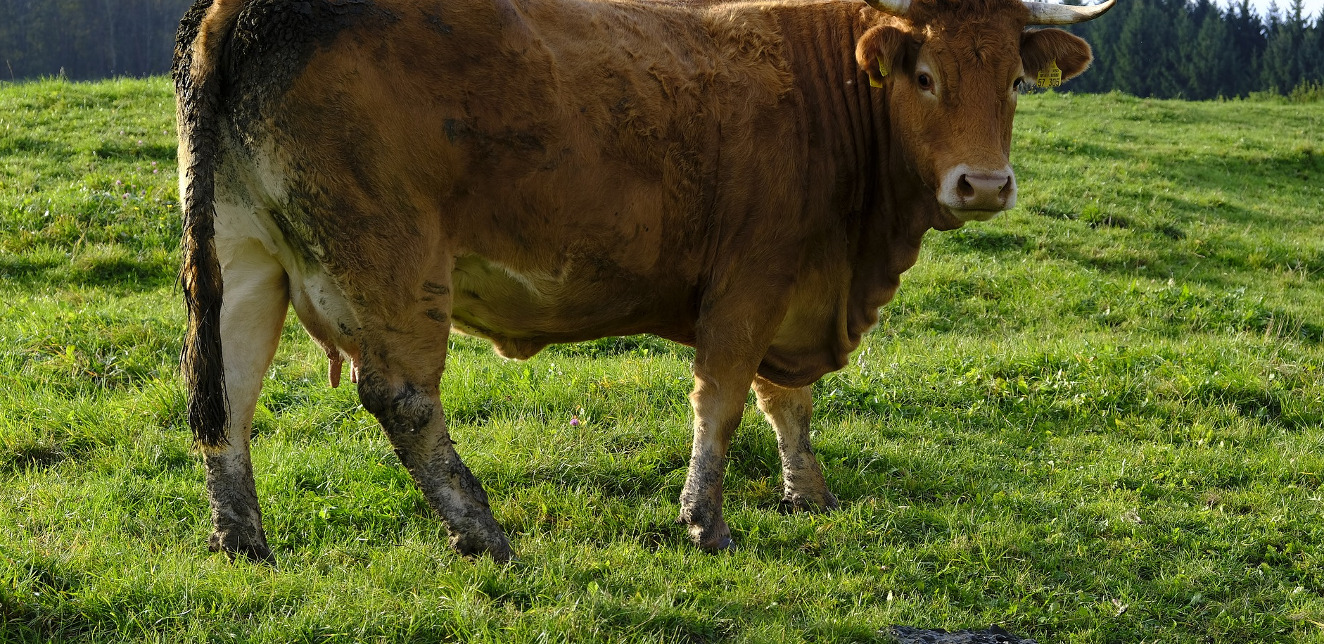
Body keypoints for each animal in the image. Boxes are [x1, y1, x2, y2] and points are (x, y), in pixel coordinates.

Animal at [170, 0, 1112, 561]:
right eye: (925, 75)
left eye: (1015, 78)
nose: (983, 185)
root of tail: (234, 10)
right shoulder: (751, 280)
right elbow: (724, 400)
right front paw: (706, 520)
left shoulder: (797, 287)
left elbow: (788, 403)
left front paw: (807, 494)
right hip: (387, 256)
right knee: (400, 397)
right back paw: (482, 528)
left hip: (241, 252)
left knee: (226, 396)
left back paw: (241, 540)